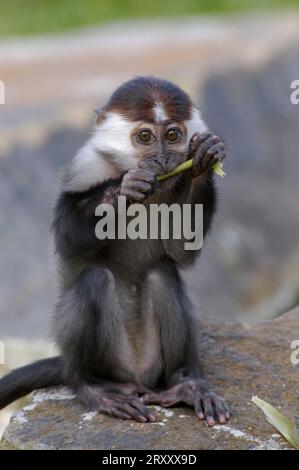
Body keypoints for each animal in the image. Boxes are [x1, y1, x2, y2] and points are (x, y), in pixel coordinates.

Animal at [0, 76, 230, 426]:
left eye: (173, 135)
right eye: (145, 136)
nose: (162, 159)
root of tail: (137, 376)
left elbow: (181, 251)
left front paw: (204, 160)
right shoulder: (86, 167)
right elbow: (67, 239)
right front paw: (123, 190)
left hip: (153, 363)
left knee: (162, 272)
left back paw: (184, 385)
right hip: (98, 357)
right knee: (95, 279)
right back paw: (95, 388)